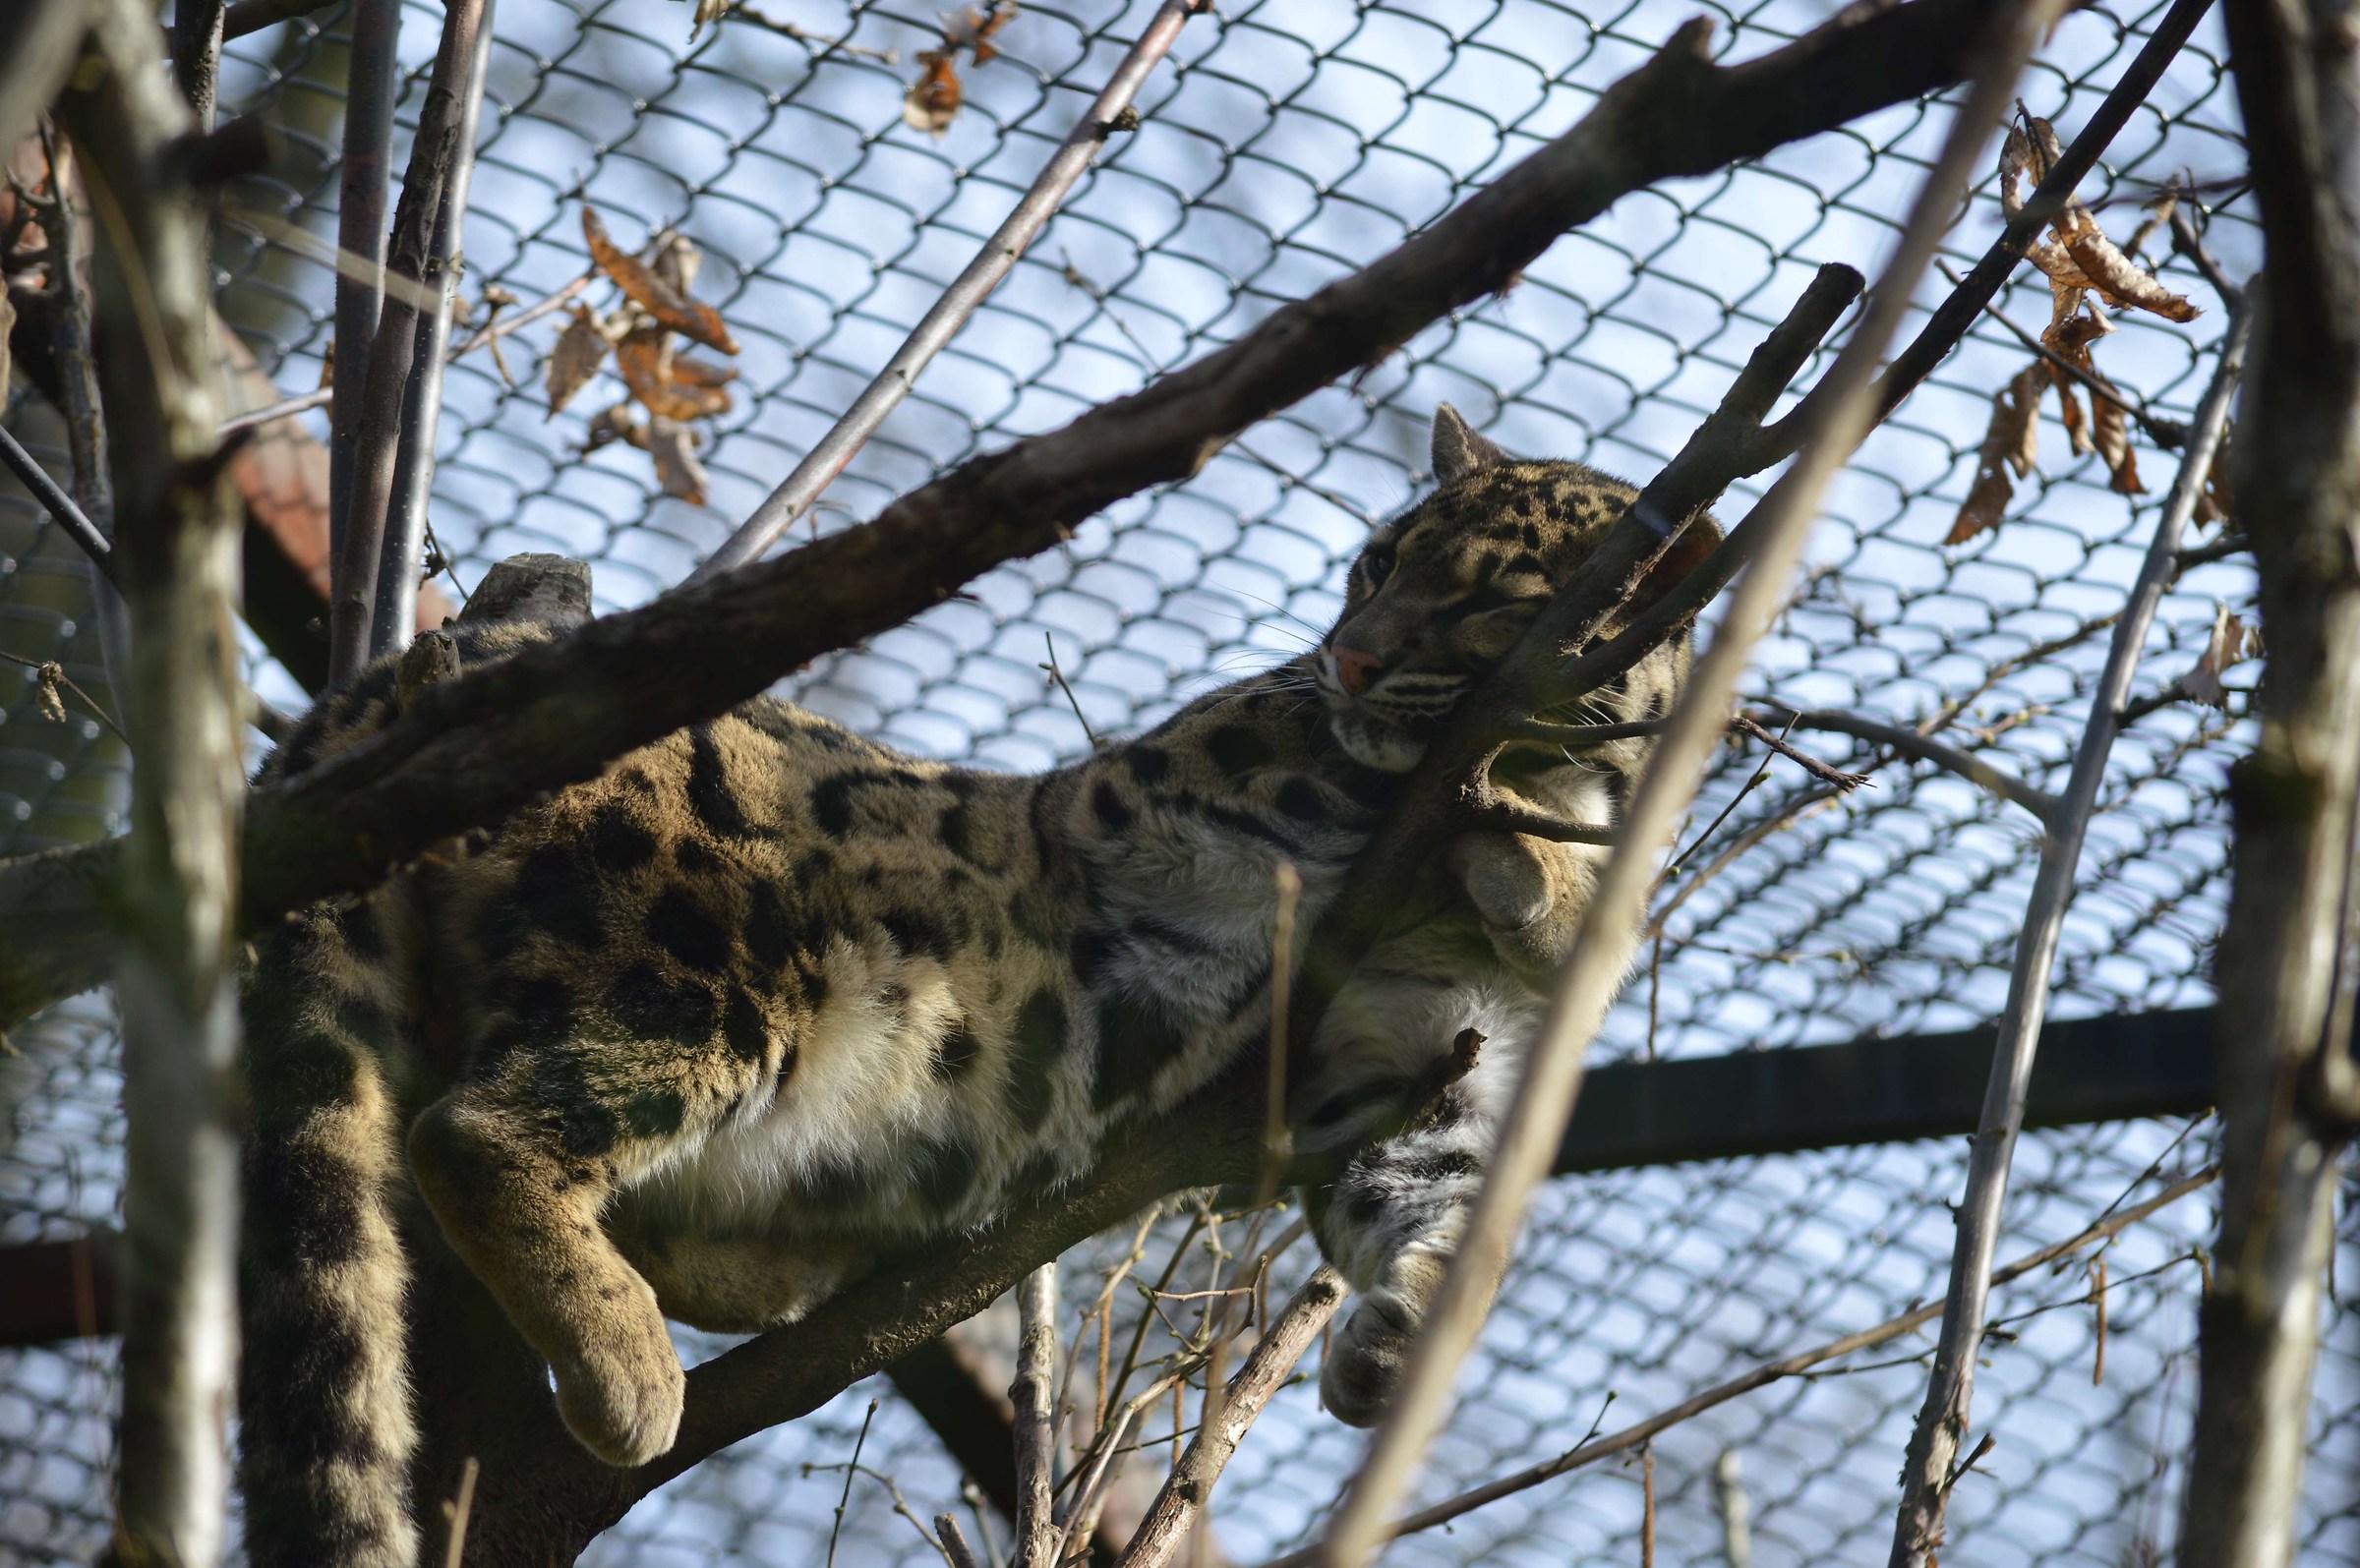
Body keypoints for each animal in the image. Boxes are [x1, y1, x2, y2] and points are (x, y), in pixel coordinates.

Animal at [234, 406, 1711, 1567]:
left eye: (1486, 597)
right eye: (1379, 560)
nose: (1349, 653)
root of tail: (399, 681)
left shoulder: (1392, 1059)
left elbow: (1432, 1201)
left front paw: (1392, 1346)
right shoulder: (1241, 783)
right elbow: (1454, 809)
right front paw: (1544, 865)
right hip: (713, 974)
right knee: (475, 1129)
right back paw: (633, 1377)